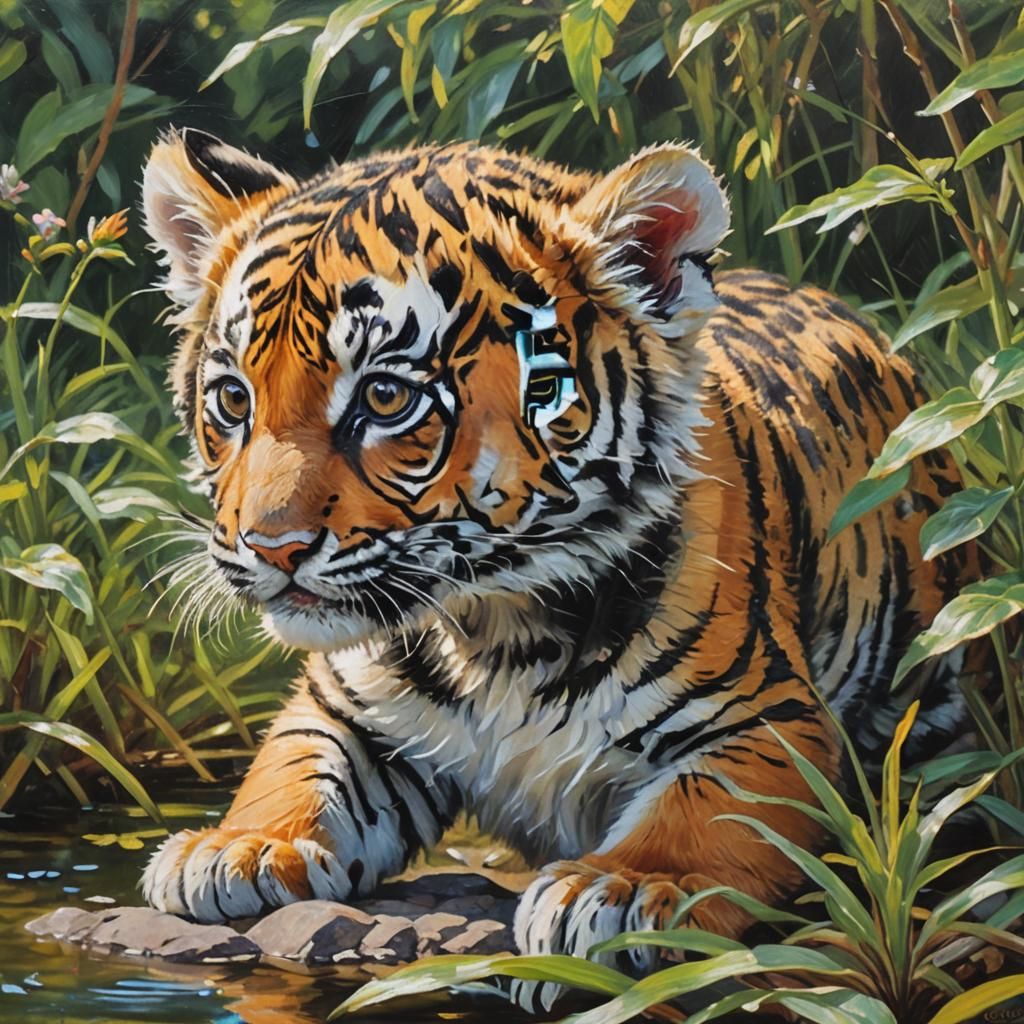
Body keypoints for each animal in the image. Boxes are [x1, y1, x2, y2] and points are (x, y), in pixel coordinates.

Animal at [139, 128, 970, 1012]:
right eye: (232, 400)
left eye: (387, 398)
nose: (269, 549)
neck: (498, 625)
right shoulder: (344, 709)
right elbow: (293, 768)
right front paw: (236, 849)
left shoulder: (763, 720)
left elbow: (701, 815)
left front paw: (620, 890)